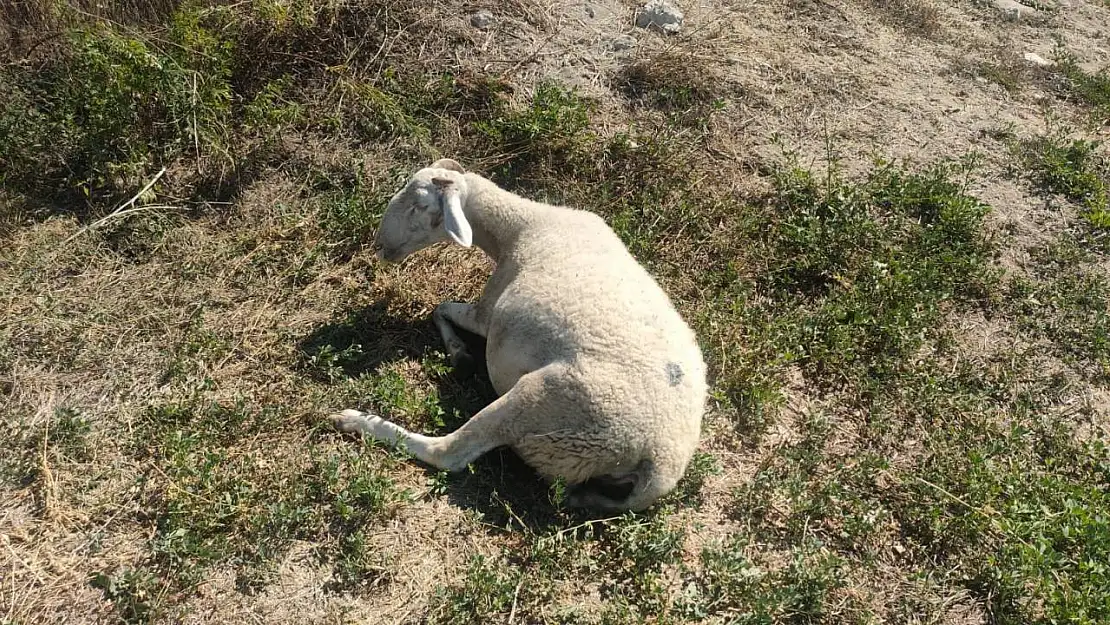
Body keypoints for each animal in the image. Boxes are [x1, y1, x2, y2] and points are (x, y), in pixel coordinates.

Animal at [328, 157, 705, 512]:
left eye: (419, 206)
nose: (379, 246)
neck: (521, 226)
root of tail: (657, 464)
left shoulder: (488, 313)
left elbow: (440, 307)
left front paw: (459, 353)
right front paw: (460, 353)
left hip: (543, 405)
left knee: (450, 453)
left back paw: (357, 421)